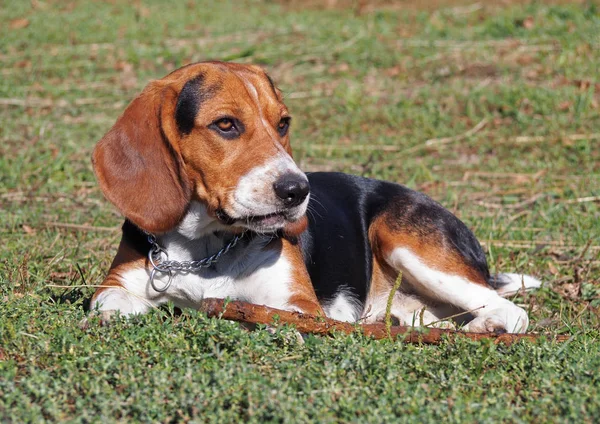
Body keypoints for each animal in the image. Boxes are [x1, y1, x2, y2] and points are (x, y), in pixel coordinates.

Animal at [91, 62, 540, 334]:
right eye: (225, 124)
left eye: (283, 124)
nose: (297, 190)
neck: (205, 249)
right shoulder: (112, 286)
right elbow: (108, 303)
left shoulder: (298, 303)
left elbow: (265, 315)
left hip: (404, 241)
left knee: (508, 310)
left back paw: (489, 326)